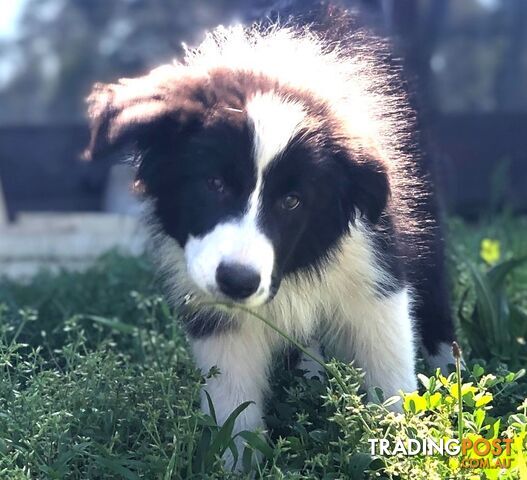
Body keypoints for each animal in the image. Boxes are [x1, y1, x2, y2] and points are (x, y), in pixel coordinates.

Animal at [84, 16, 456, 462]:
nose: (238, 282)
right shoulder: (216, 313)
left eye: (292, 201)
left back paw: (451, 375)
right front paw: (238, 462)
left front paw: (400, 448)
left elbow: (388, 369)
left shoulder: (371, 266)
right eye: (214, 183)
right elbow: (234, 401)